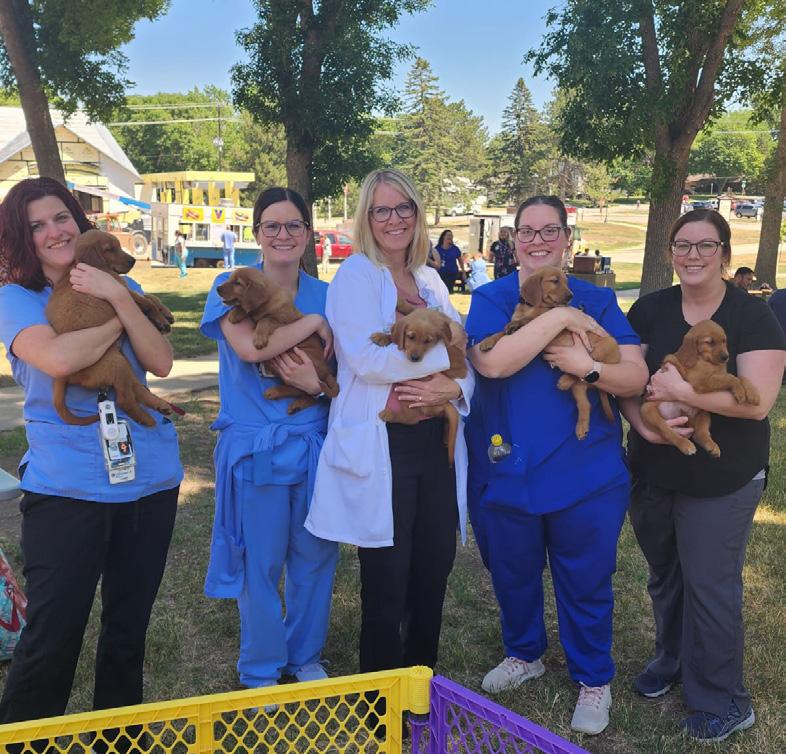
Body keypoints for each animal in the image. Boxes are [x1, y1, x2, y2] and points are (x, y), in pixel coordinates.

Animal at [46, 230, 182, 427]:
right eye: (109, 249)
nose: (133, 261)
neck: (80, 264)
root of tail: (68, 377)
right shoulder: (121, 289)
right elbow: (147, 302)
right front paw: (160, 321)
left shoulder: (123, 288)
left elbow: (150, 296)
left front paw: (166, 314)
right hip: (116, 364)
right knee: (124, 399)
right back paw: (147, 419)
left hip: (122, 361)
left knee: (136, 389)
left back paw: (160, 405)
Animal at [216, 267, 339, 414]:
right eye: (230, 279)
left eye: (237, 283)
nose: (217, 288)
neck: (267, 302)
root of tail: (327, 372)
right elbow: (248, 310)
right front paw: (235, 314)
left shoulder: (282, 322)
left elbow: (265, 319)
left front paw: (259, 339)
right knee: (309, 394)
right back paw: (296, 405)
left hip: (294, 357)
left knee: (301, 388)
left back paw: (274, 392)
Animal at [370, 300, 467, 466]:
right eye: (410, 337)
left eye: (428, 341)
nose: (415, 358)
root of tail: (444, 403)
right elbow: (409, 313)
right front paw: (385, 335)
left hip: (409, 392)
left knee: (411, 419)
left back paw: (389, 414)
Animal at [477, 266, 621, 440]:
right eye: (554, 281)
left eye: (566, 282)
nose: (571, 296)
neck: (531, 306)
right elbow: (501, 332)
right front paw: (487, 341)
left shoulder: (546, 321)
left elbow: (526, 321)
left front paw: (516, 323)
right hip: (579, 387)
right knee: (585, 403)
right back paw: (581, 428)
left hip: (604, 347)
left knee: (586, 363)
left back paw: (564, 380)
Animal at [640, 320, 759, 457]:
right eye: (710, 342)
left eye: (724, 341)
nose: (726, 357)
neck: (706, 361)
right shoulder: (701, 381)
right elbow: (731, 377)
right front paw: (740, 392)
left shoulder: (718, 375)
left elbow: (740, 377)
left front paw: (753, 394)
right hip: (647, 410)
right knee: (667, 432)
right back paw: (685, 445)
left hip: (703, 412)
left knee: (699, 434)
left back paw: (711, 446)